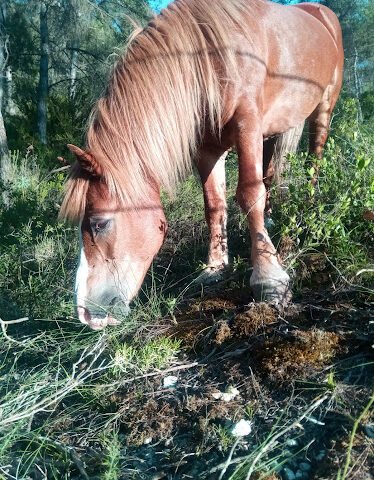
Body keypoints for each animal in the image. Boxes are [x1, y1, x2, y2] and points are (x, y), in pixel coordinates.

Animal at [60, 0, 344, 330]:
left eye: (99, 223)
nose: (85, 313)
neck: (208, 54)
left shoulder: (248, 123)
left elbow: (249, 194)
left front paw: (269, 278)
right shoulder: (208, 147)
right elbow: (214, 205)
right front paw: (214, 268)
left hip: (323, 107)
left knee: (314, 159)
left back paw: (310, 209)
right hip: (274, 127)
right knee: (271, 170)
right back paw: (272, 219)